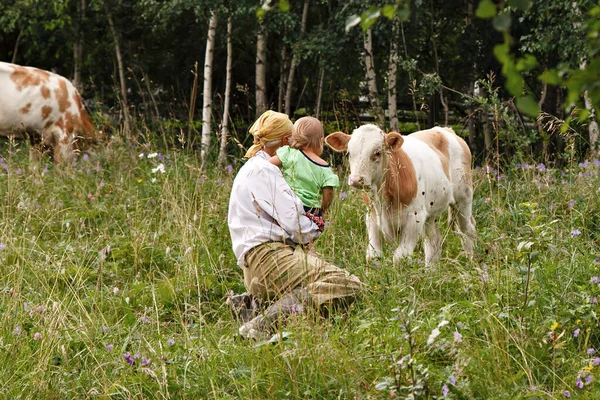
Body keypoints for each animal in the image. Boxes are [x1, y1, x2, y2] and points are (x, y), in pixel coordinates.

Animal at [326, 125, 476, 266]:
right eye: (349, 153)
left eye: (377, 153)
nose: (356, 179)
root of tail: (445, 129)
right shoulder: (372, 216)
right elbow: (373, 256)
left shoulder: (415, 218)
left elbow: (400, 258)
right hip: (431, 212)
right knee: (433, 242)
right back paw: (430, 271)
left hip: (464, 198)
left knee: (468, 230)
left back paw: (471, 262)